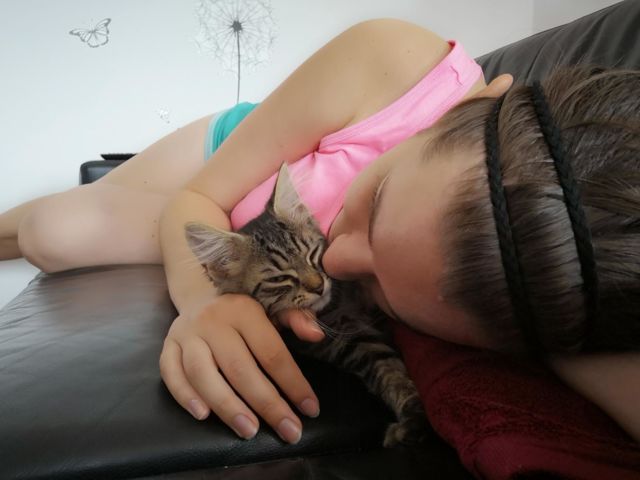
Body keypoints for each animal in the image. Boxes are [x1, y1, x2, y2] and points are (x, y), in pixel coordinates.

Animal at [184, 164, 430, 447]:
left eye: (313, 254)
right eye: (279, 279)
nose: (318, 286)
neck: (338, 305)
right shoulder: (344, 341)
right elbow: (388, 367)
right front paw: (413, 422)